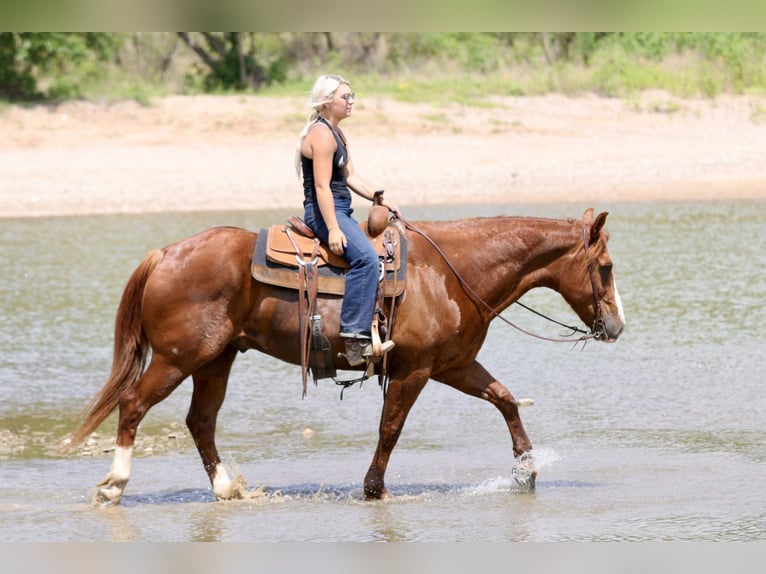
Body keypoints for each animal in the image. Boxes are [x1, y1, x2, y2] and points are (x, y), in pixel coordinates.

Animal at [65, 208, 625, 505]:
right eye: (606, 266)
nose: (617, 326)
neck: (452, 271)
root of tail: (165, 254)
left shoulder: (452, 366)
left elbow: (504, 399)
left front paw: (526, 470)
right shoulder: (414, 371)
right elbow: (390, 428)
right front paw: (375, 490)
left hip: (215, 361)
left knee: (200, 422)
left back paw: (227, 490)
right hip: (178, 359)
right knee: (134, 405)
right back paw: (115, 486)